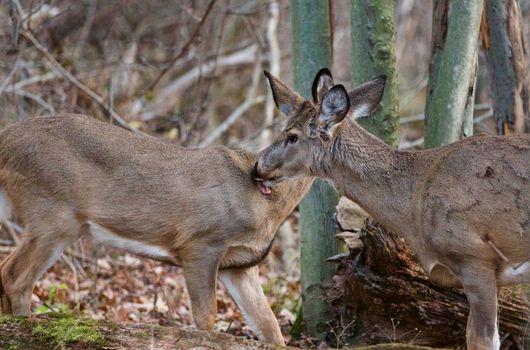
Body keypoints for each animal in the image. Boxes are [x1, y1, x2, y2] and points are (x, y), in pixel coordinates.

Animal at [0, 113, 312, 344]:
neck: (266, 207)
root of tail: (6, 140)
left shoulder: (239, 265)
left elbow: (269, 325)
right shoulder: (200, 243)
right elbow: (206, 319)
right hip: (53, 215)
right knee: (15, 277)